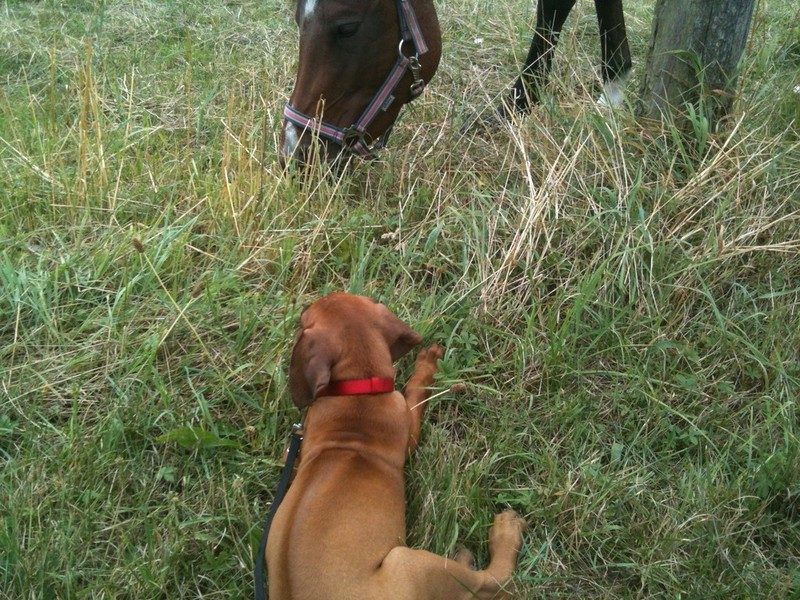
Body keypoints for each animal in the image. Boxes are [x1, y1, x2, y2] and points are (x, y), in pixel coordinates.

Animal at [266, 292, 527, 599]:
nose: (303, 306)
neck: (358, 391)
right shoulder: (406, 422)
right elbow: (416, 394)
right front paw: (427, 366)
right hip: (411, 564)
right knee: (489, 584)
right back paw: (504, 534)